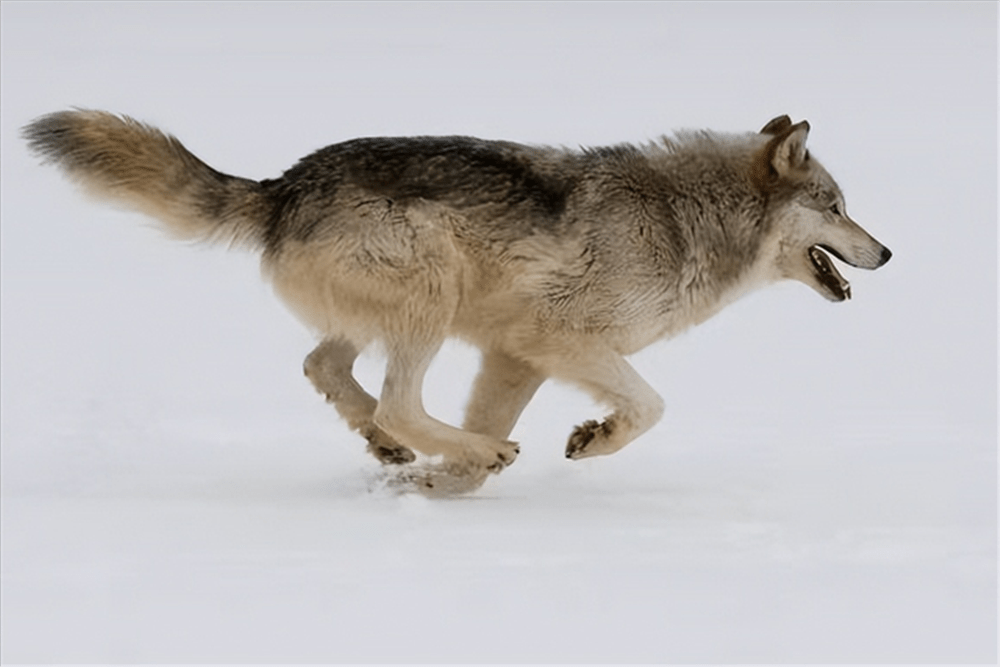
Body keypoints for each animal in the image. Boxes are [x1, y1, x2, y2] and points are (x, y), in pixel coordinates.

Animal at [23, 109, 892, 494]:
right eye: (839, 206)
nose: (886, 252)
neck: (687, 221)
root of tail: (282, 186)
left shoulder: (514, 354)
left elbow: (492, 422)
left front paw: (443, 487)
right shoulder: (557, 337)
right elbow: (649, 406)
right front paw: (580, 441)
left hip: (391, 313)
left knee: (326, 368)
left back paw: (393, 450)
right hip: (431, 288)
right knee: (396, 398)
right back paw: (437, 446)